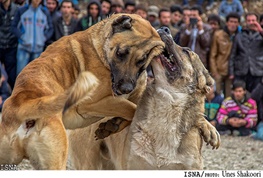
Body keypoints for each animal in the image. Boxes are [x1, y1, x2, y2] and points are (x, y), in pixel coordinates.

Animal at [0, 13, 165, 170]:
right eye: (120, 53)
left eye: (141, 61)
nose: (126, 88)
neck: (100, 49)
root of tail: (23, 102)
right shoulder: (94, 102)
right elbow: (133, 109)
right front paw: (113, 124)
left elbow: (133, 108)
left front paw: (112, 125)